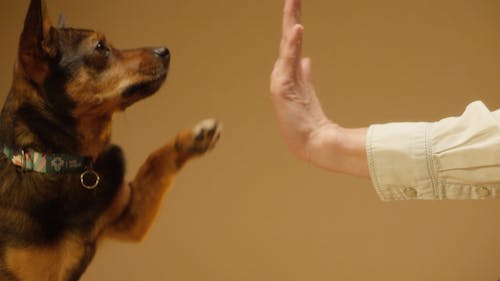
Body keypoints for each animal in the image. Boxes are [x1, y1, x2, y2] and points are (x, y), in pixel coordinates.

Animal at [0, 1, 221, 278]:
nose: (165, 51)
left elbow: (153, 164)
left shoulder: (129, 218)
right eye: (100, 47)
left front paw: (194, 136)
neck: (60, 164)